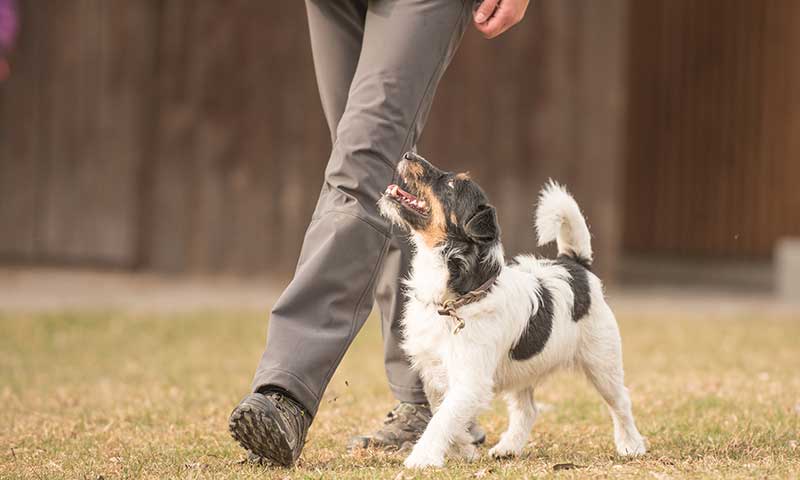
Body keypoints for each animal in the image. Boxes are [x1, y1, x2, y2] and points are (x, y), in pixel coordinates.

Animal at [378, 152, 648, 466]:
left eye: (452, 185)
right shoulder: (434, 373)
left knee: (620, 402)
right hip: (523, 370)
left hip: (602, 362)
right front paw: (463, 449)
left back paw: (630, 444)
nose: (408, 154)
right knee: (527, 410)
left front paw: (422, 458)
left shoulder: (470, 380)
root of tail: (575, 264)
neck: (458, 298)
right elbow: (442, 412)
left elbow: (442, 419)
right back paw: (508, 447)